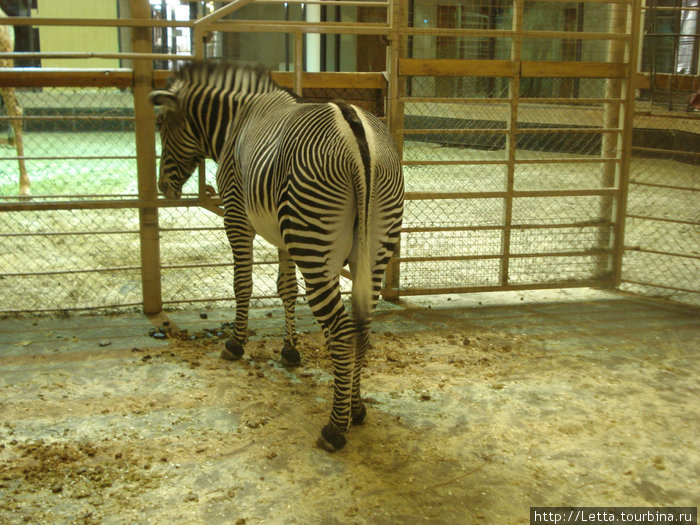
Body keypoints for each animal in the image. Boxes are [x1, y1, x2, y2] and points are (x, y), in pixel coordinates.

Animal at [150, 59, 402, 448]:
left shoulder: (236, 217)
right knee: (361, 326)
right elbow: (286, 289)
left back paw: (335, 427)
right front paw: (290, 350)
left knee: (342, 332)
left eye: (162, 126)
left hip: (315, 245)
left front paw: (235, 344)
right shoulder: (285, 237)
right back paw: (356, 409)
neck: (236, 118)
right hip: (373, 249)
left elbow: (242, 285)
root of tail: (355, 127)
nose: (165, 188)